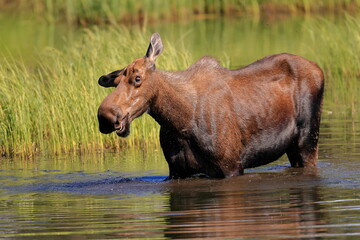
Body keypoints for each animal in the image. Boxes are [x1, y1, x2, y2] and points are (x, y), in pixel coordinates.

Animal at [97, 32, 324, 179]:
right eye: (115, 82)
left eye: (137, 78)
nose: (105, 117)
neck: (179, 122)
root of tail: (318, 68)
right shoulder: (177, 171)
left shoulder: (231, 165)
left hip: (308, 139)